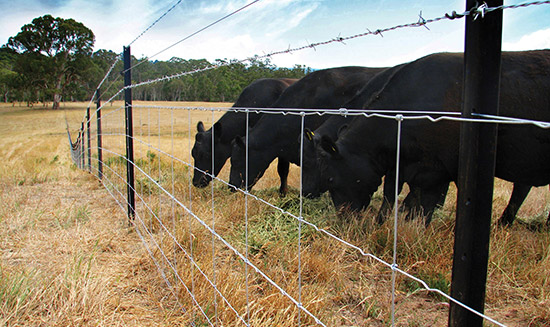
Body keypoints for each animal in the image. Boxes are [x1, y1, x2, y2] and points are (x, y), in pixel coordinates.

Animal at [320, 50, 550, 226]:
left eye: (331, 179)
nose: (343, 218)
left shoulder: (440, 171)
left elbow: (425, 206)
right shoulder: (406, 167)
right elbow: (392, 197)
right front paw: (383, 224)